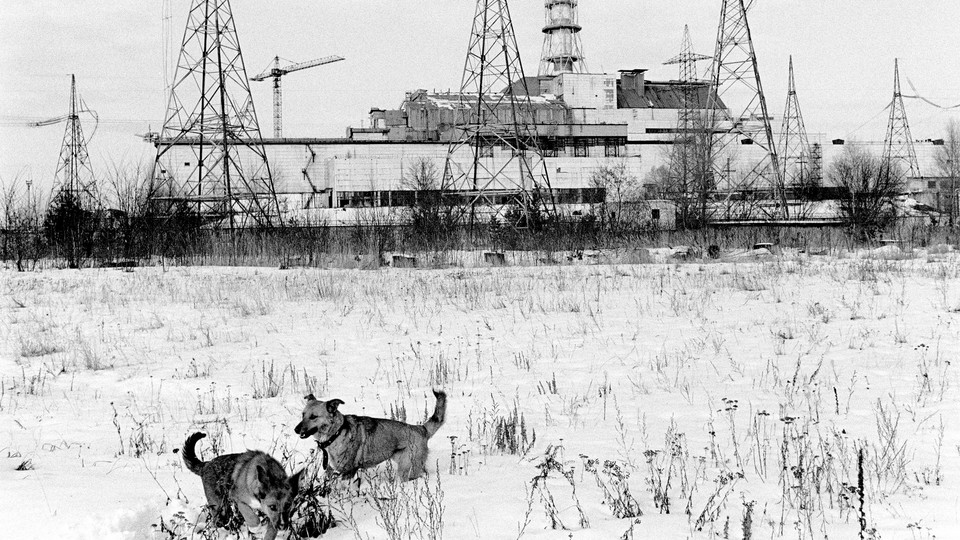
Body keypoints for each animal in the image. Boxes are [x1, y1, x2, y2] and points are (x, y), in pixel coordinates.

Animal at [296, 388, 446, 480]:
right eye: (303, 415)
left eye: (313, 417)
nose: (296, 430)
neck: (336, 433)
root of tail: (421, 429)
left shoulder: (349, 471)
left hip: (406, 469)